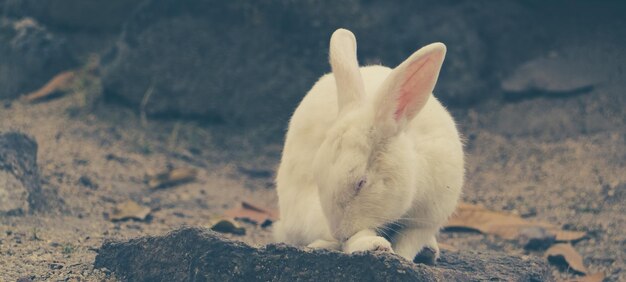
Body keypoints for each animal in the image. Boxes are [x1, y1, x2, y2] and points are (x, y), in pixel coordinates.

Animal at [272, 28, 464, 262]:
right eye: (317, 178)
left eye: (361, 182)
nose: (339, 232)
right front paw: (375, 246)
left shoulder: (427, 218)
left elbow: (409, 242)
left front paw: (401, 257)